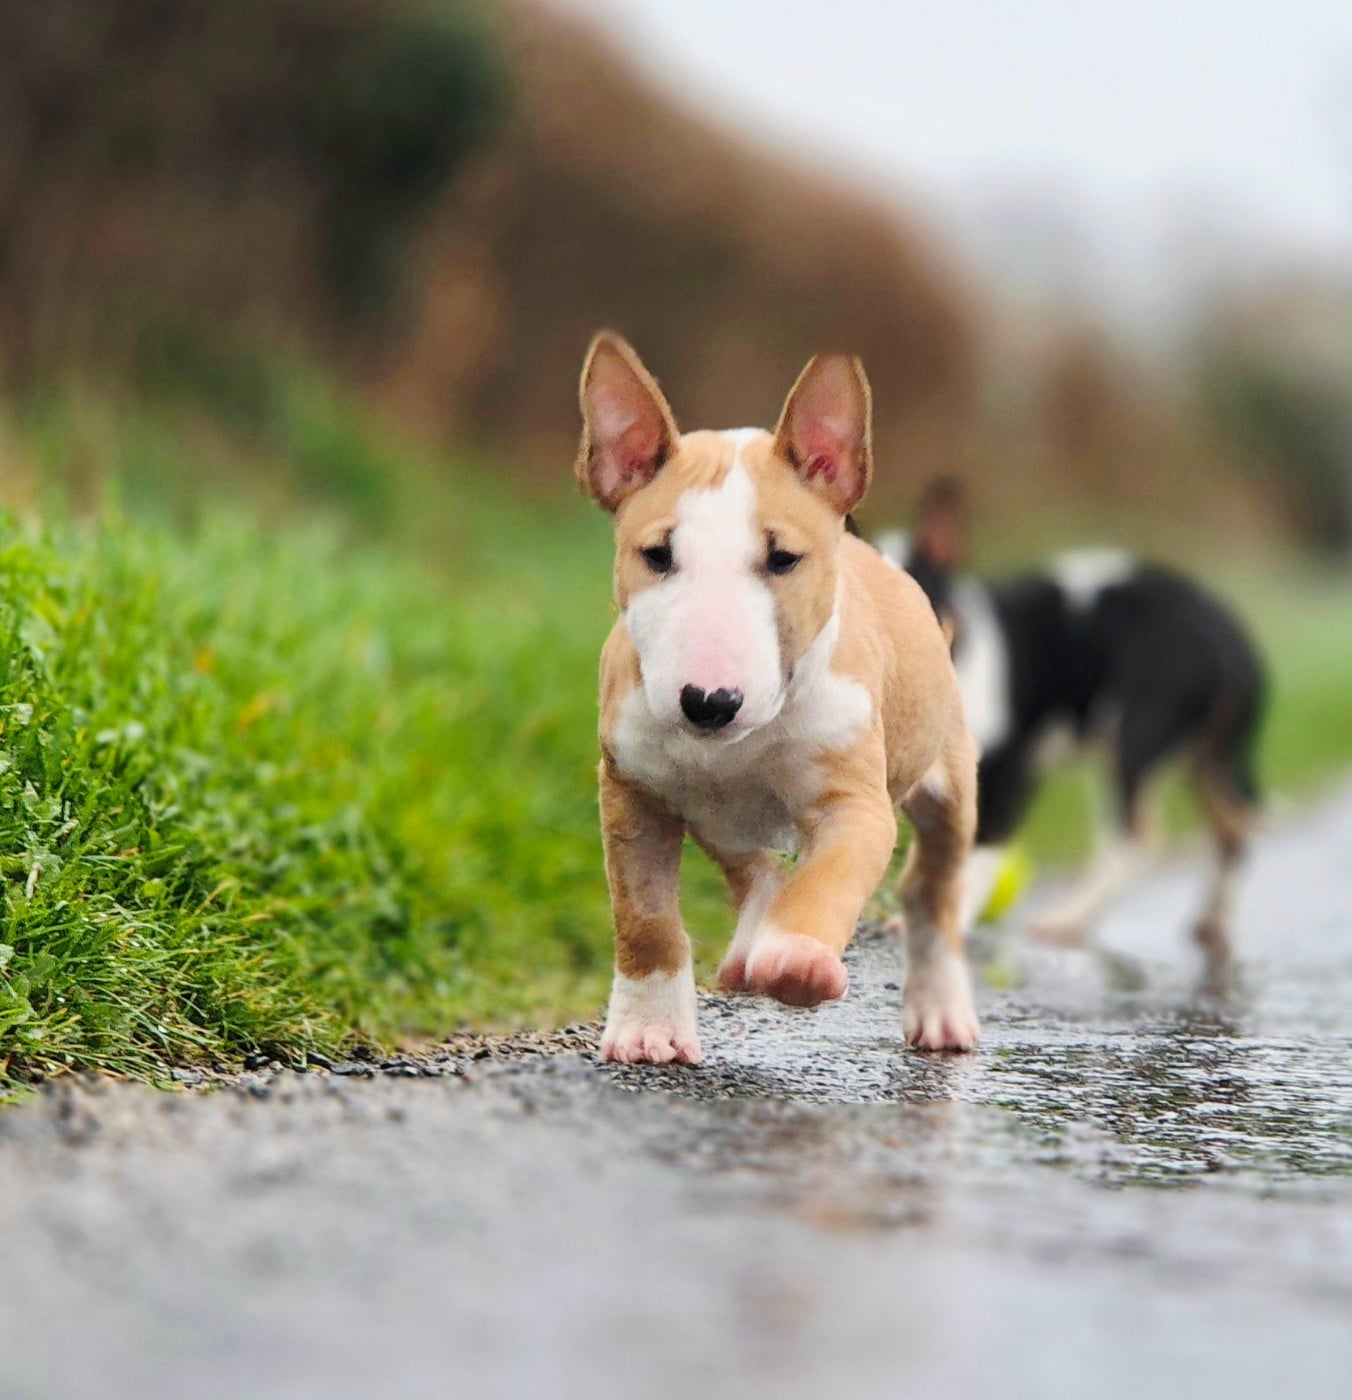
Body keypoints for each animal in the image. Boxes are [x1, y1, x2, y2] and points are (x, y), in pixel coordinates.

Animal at [575, 334, 981, 1064]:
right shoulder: (631, 792)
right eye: (657, 555)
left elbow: (831, 876)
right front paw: (649, 1029)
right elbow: (645, 918)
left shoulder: (856, 803)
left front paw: (797, 962)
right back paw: (749, 940)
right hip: (715, 812)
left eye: (784, 559)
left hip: (950, 779)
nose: (708, 702)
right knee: (753, 866)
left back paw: (939, 1012)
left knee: (931, 889)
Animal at [877, 480, 1266, 958]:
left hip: (1134, 740)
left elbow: (976, 850)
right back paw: (1213, 921)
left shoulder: (1005, 772)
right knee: (1232, 829)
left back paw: (1066, 919)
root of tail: (1232, 644)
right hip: (1211, 758)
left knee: (1136, 838)